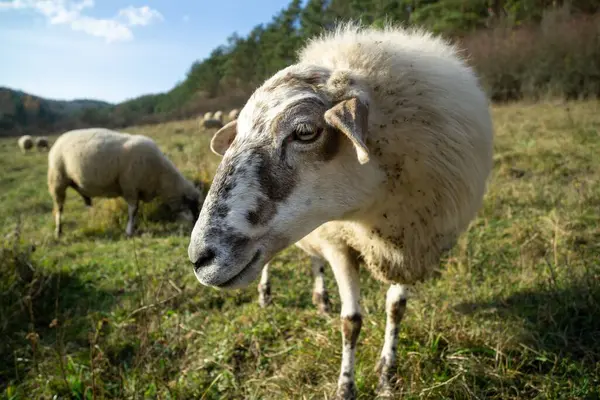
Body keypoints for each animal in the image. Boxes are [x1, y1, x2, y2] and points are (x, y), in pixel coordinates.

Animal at [48, 129, 203, 238]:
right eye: (193, 206)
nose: (196, 227)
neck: (161, 177)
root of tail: (58, 140)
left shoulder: (136, 188)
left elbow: (136, 210)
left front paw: (133, 228)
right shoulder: (130, 187)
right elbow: (133, 210)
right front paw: (129, 231)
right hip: (58, 180)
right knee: (59, 208)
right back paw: (58, 231)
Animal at [188, 22, 492, 400]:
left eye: (305, 131)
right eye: (237, 136)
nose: (199, 258)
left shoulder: (411, 235)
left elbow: (396, 309)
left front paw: (387, 374)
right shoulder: (340, 244)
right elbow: (352, 322)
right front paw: (346, 386)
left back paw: (321, 298)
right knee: (270, 263)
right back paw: (266, 294)